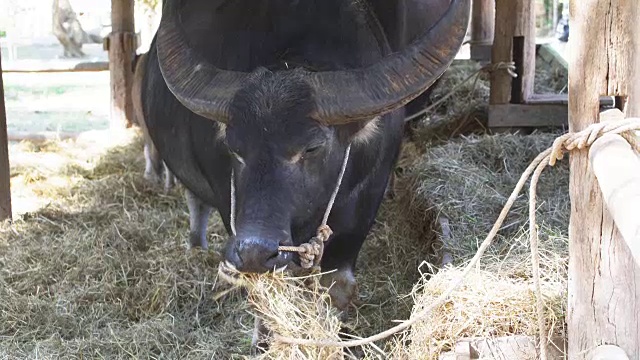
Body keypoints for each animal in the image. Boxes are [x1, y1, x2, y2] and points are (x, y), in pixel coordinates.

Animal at [142, 0, 468, 316]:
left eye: (312, 148)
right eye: (235, 149)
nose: (256, 249)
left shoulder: (367, 200)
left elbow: (338, 285)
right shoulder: (231, 208)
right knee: (196, 201)